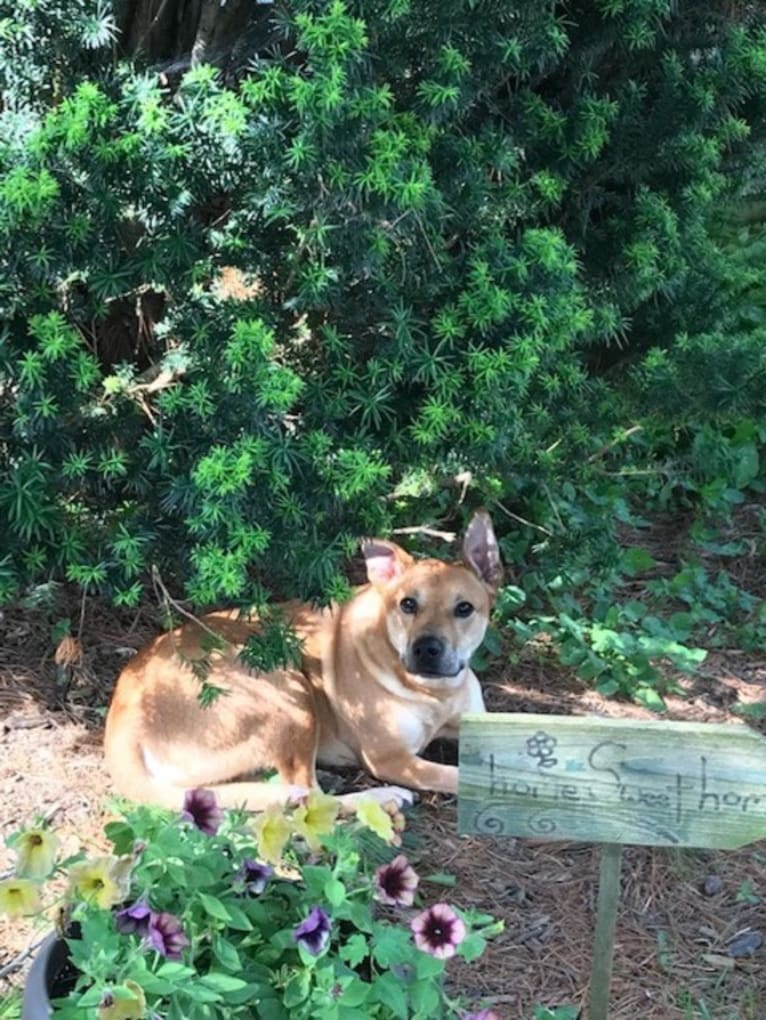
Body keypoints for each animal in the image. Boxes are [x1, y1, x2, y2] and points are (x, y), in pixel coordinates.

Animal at [106, 510, 503, 811]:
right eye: (408, 604)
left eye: (464, 608)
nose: (426, 649)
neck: (435, 692)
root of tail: (123, 717)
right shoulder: (392, 757)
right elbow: (463, 775)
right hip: (288, 691)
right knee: (308, 795)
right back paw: (380, 797)